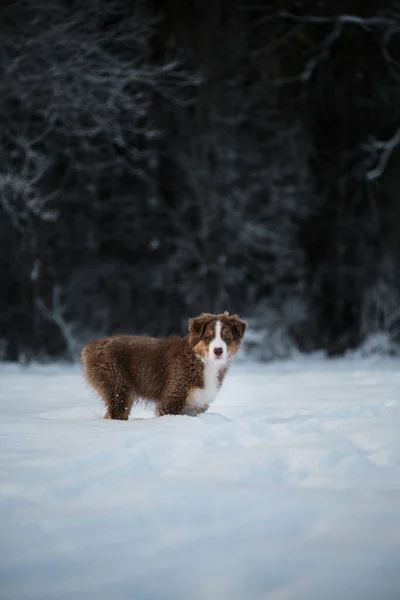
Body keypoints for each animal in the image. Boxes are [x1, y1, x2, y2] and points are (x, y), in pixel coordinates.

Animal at [82, 312, 247, 420]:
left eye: (227, 338)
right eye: (208, 337)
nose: (218, 350)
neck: (203, 362)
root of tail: (90, 347)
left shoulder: (196, 405)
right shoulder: (172, 399)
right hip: (117, 386)